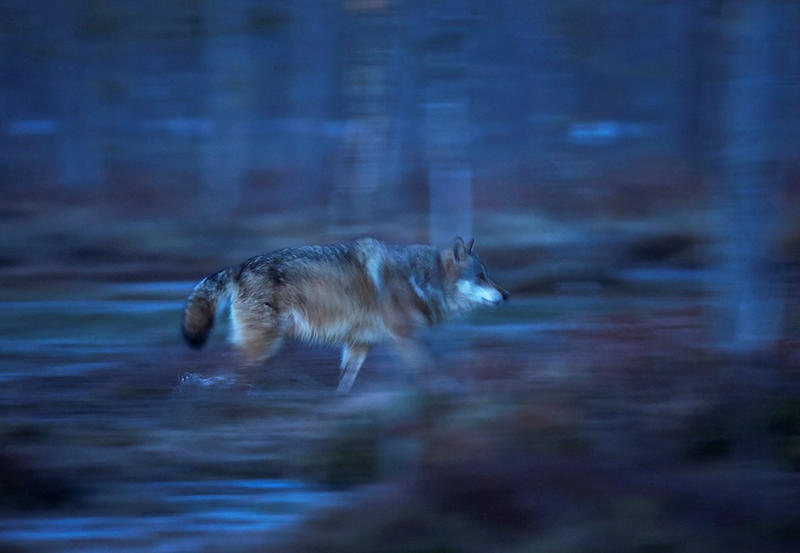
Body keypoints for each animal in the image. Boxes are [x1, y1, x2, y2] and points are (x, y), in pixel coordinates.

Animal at [181, 237, 506, 392]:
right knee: (235, 376)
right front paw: (447, 392)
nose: (506, 295)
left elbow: (345, 383)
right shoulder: (405, 338)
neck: (420, 279)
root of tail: (239, 267)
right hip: (263, 344)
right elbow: (430, 371)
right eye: (481, 277)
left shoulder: (358, 344)